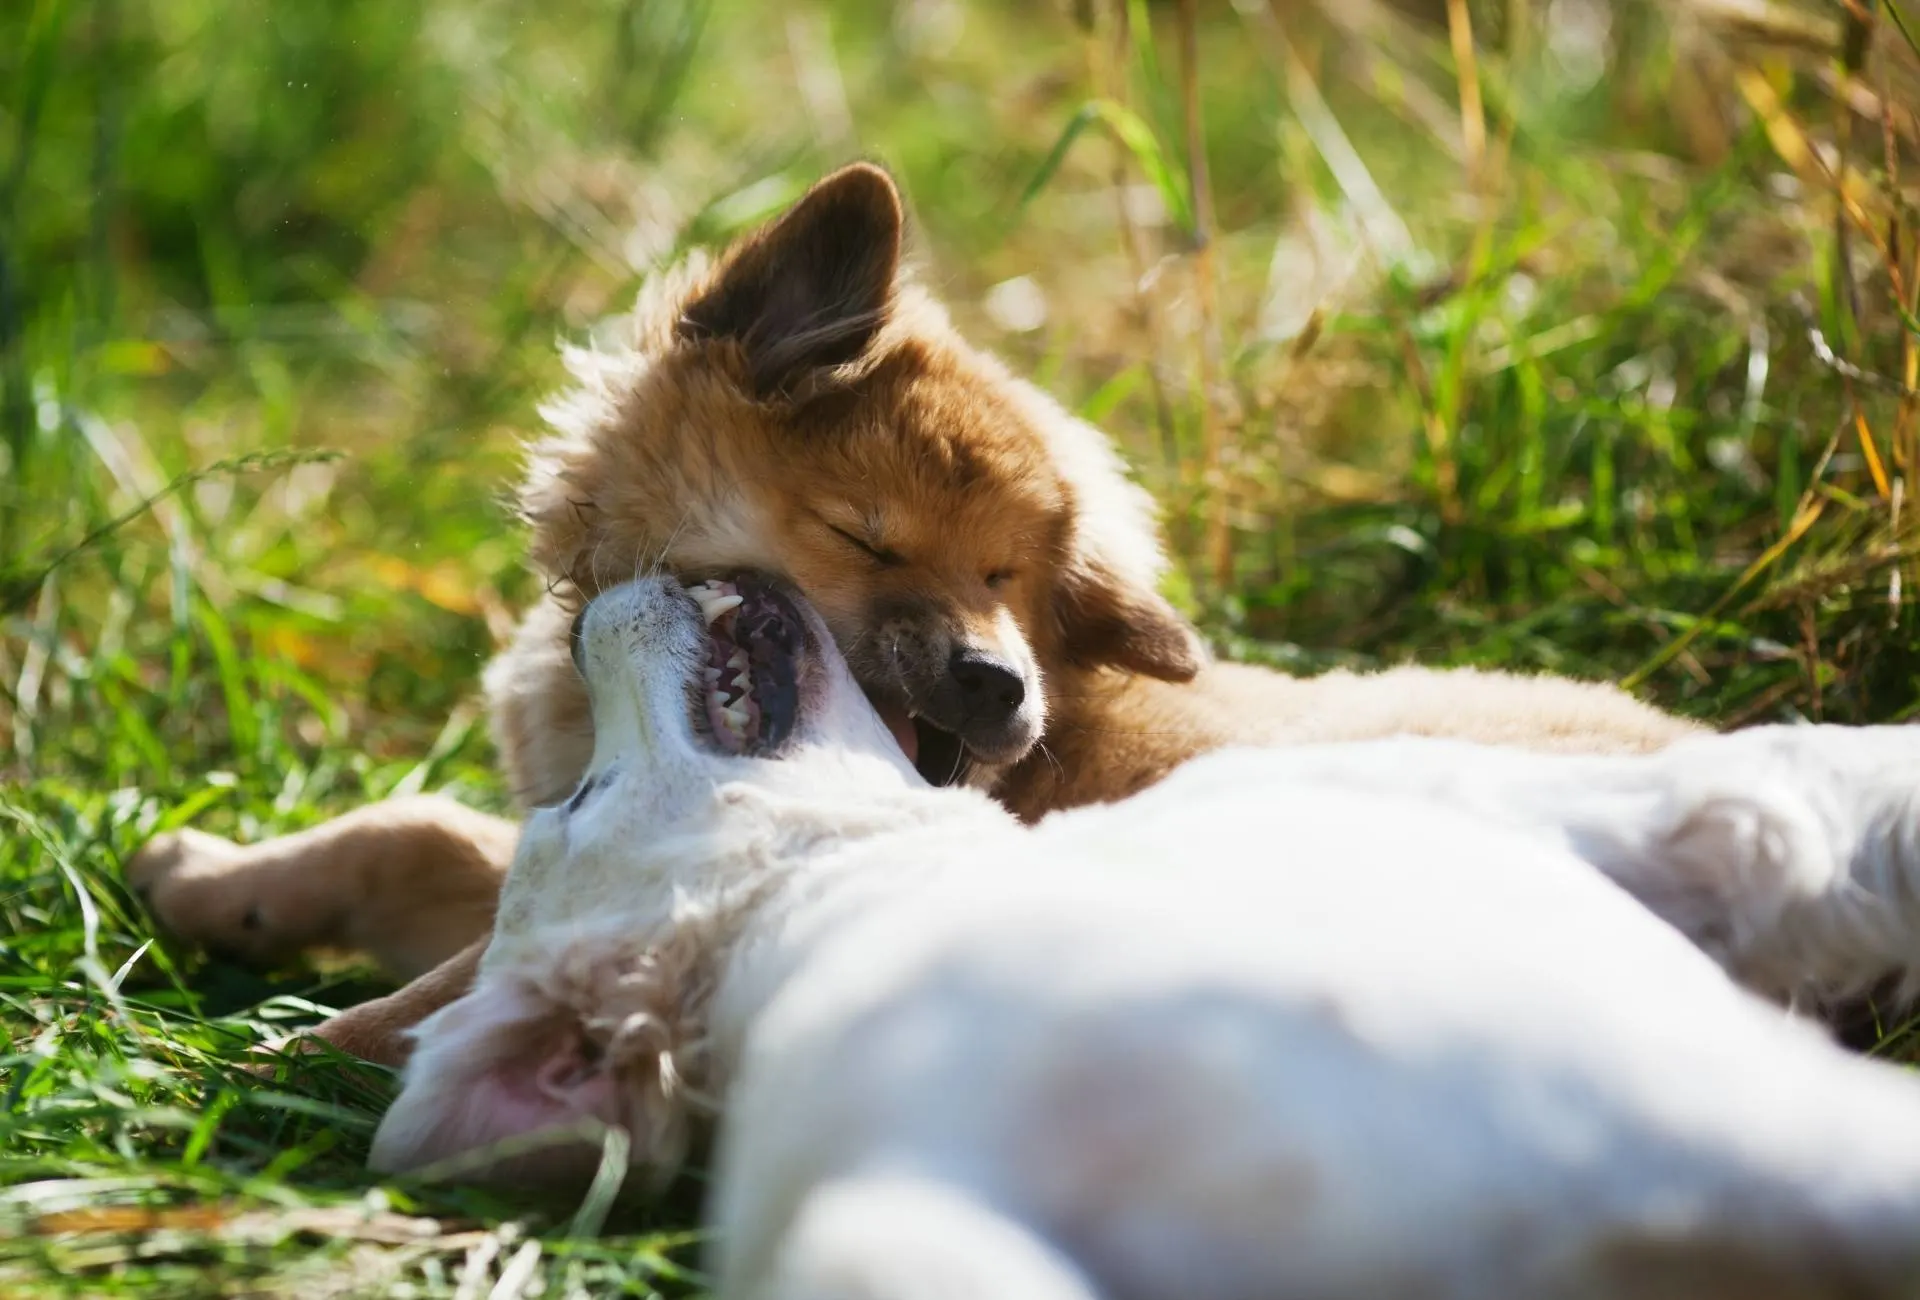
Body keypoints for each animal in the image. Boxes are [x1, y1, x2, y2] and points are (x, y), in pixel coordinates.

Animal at [127, 162, 1704, 1059]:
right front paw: (218, 879)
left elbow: (476, 943)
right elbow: (417, 836)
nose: (1004, 689)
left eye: (1009, 577)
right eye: (867, 537)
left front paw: (313, 1050)